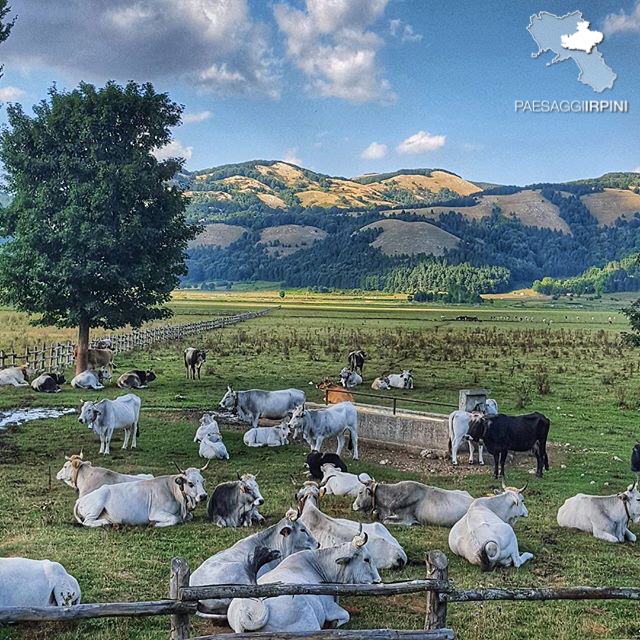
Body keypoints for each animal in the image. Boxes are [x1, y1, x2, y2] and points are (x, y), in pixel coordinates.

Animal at [74, 468, 208, 528]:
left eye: (203, 481)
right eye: (190, 483)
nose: (203, 496)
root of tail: (80, 499)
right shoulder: (155, 513)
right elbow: (174, 519)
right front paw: (155, 524)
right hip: (98, 503)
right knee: (87, 522)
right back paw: (106, 522)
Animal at [228, 532, 382, 632]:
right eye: (366, 559)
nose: (378, 581)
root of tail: (248, 613)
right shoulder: (330, 608)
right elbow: (346, 615)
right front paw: (334, 623)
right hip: (310, 625)